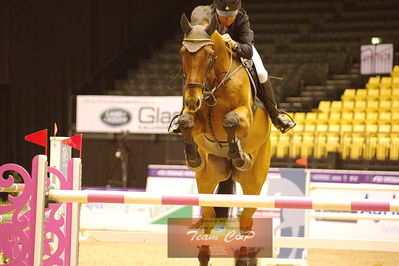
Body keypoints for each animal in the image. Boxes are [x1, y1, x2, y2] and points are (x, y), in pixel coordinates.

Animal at [178, 13, 272, 266]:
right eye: (182, 52)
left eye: (210, 55)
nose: (192, 100)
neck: (213, 85)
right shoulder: (198, 120)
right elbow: (186, 122)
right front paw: (193, 157)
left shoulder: (245, 117)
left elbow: (230, 121)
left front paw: (238, 155)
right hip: (207, 181)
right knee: (209, 218)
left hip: (253, 185)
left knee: (246, 223)